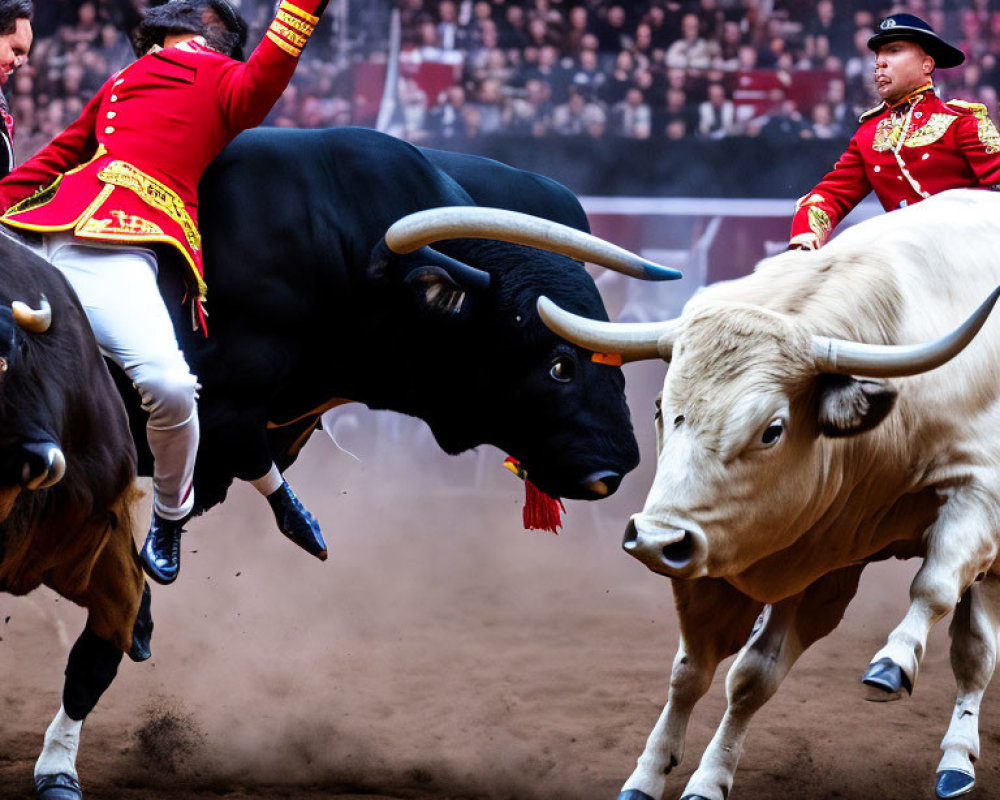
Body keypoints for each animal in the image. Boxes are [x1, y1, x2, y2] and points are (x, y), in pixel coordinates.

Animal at [544, 189, 1000, 800]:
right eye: (661, 407)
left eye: (772, 429)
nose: (654, 539)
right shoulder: (781, 549)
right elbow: (708, 672)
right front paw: (656, 774)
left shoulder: (979, 500)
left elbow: (932, 586)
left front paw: (891, 664)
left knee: (974, 654)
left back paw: (955, 760)